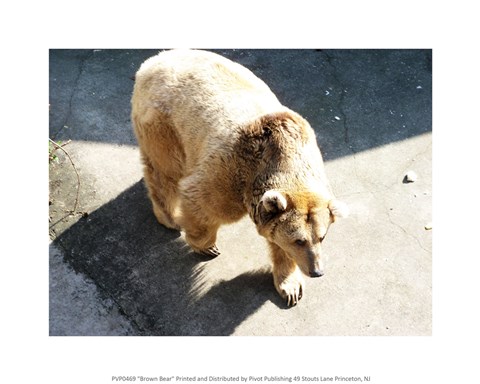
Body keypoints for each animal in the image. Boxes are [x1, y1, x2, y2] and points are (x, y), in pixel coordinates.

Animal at [131, 49, 348, 306]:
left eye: (322, 237)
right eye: (299, 240)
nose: (317, 271)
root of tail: (153, 61)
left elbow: (278, 245)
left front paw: (290, 288)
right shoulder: (231, 173)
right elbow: (201, 202)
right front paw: (205, 246)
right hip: (165, 124)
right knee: (165, 171)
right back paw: (169, 218)